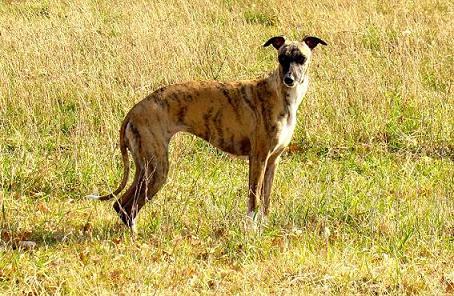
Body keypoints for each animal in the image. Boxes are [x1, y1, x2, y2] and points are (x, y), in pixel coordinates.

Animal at [88, 35, 326, 231]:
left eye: (301, 58)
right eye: (282, 58)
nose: (289, 79)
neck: (279, 94)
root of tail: (133, 111)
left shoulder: (273, 160)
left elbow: (266, 200)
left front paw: (264, 227)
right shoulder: (258, 158)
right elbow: (254, 200)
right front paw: (251, 231)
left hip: (145, 166)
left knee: (121, 205)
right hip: (157, 169)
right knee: (127, 206)